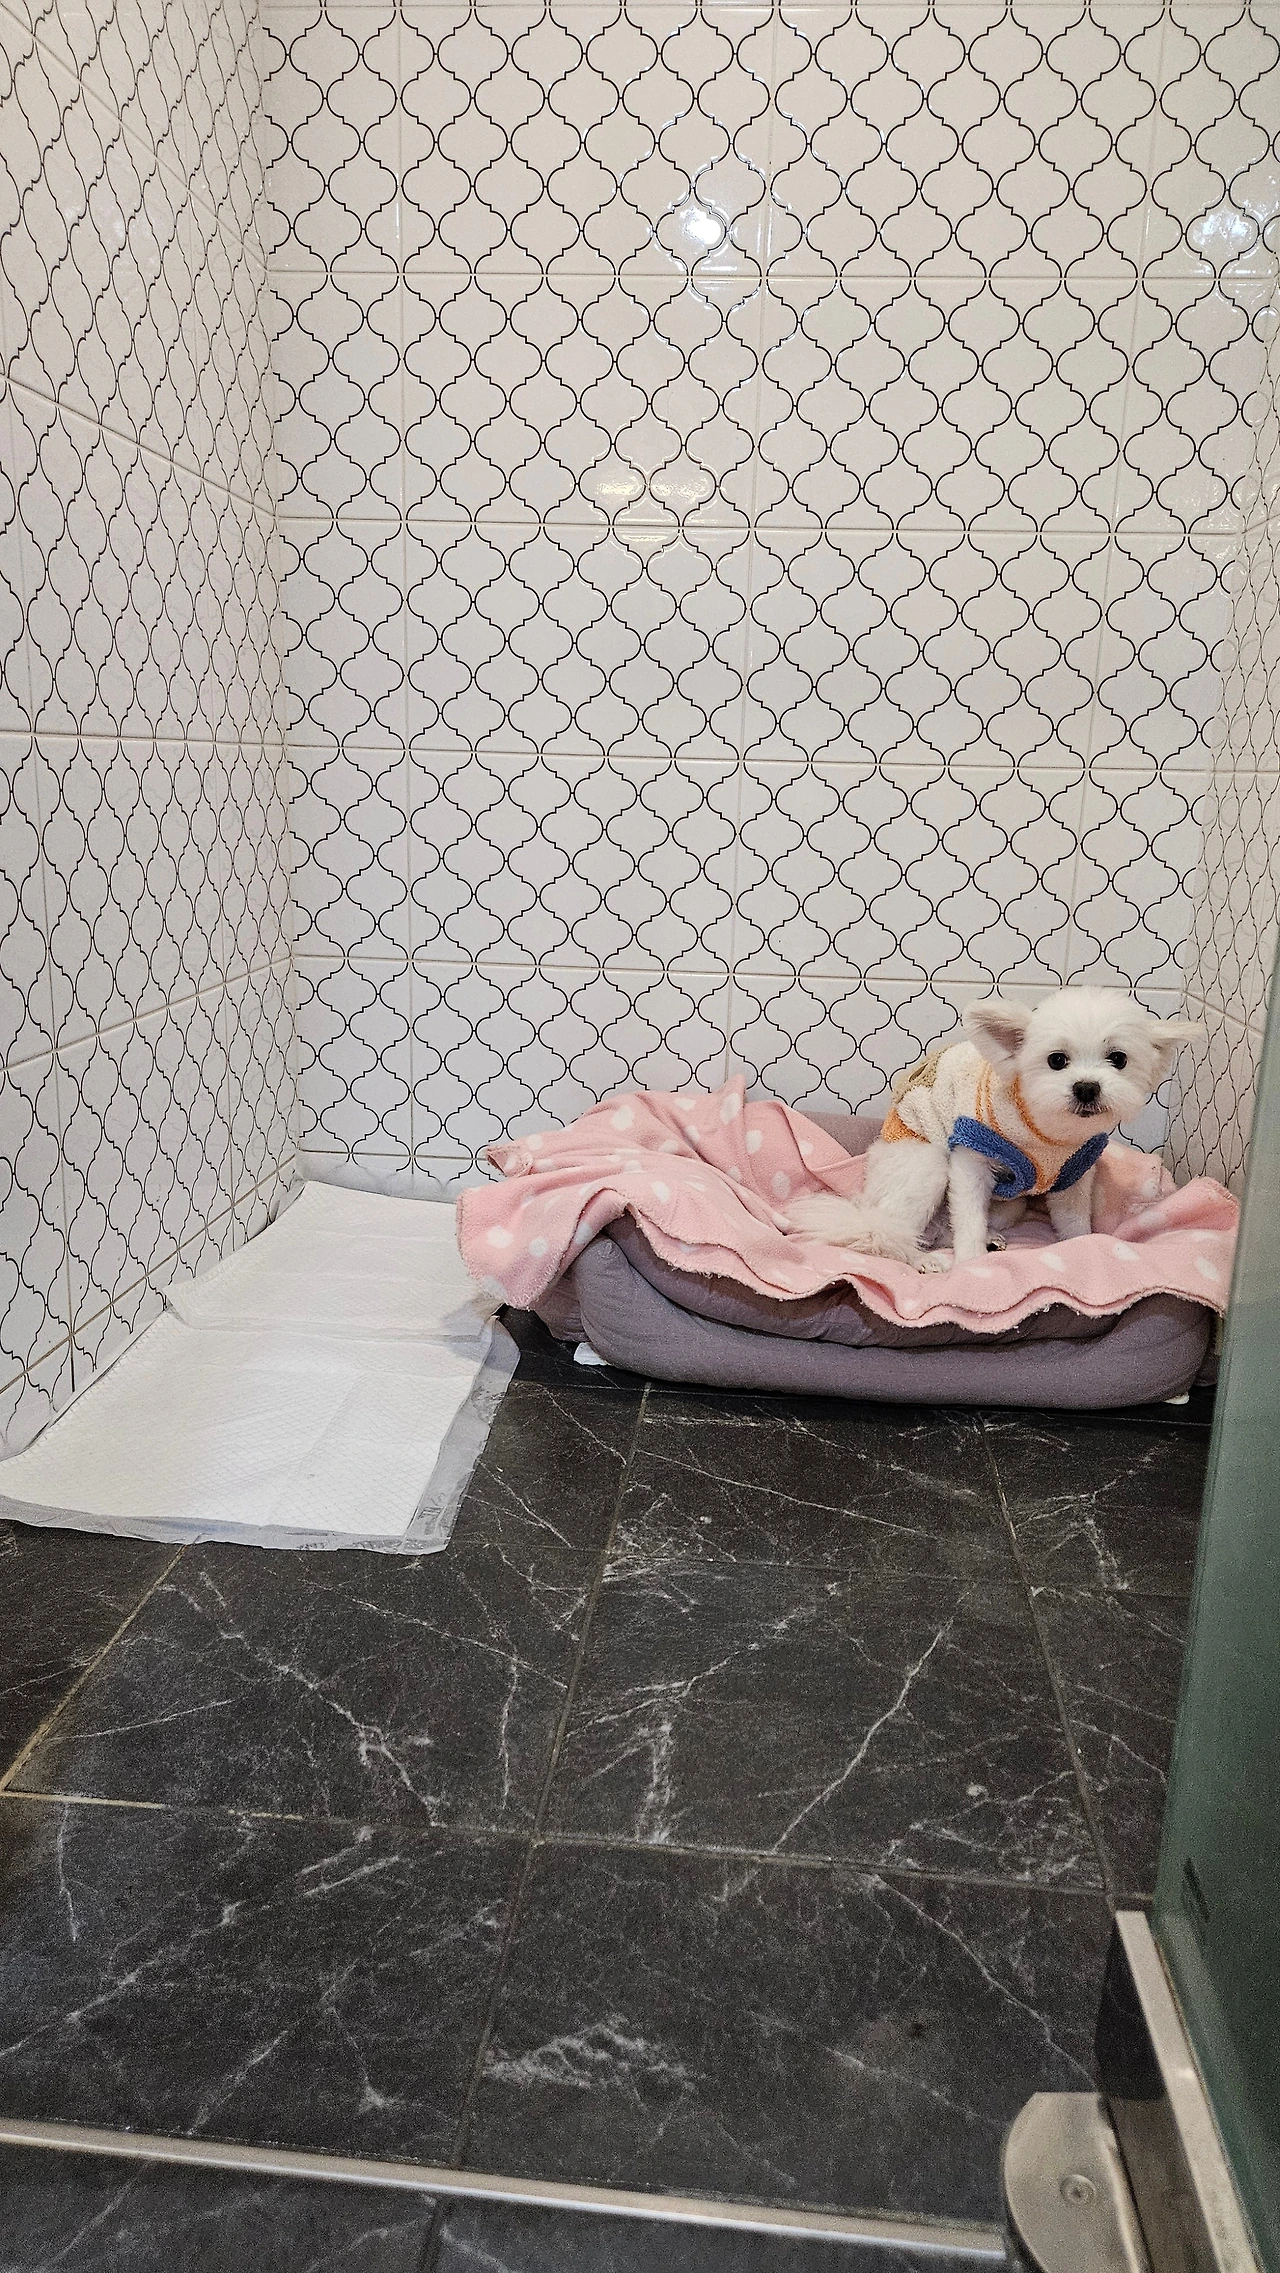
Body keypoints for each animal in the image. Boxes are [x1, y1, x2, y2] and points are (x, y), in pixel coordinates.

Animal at [786, 989, 1202, 1272]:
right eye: (1057, 1060)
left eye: (1118, 1059)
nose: (1086, 1087)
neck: (1049, 1134)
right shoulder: (970, 1158)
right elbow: (968, 1217)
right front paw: (970, 1267)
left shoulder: (1075, 1175)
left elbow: (1074, 1222)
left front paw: (1080, 1250)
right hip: (926, 1168)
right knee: (886, 1233)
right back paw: (921, 1259)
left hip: (1010, 1205)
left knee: (943, 1229)